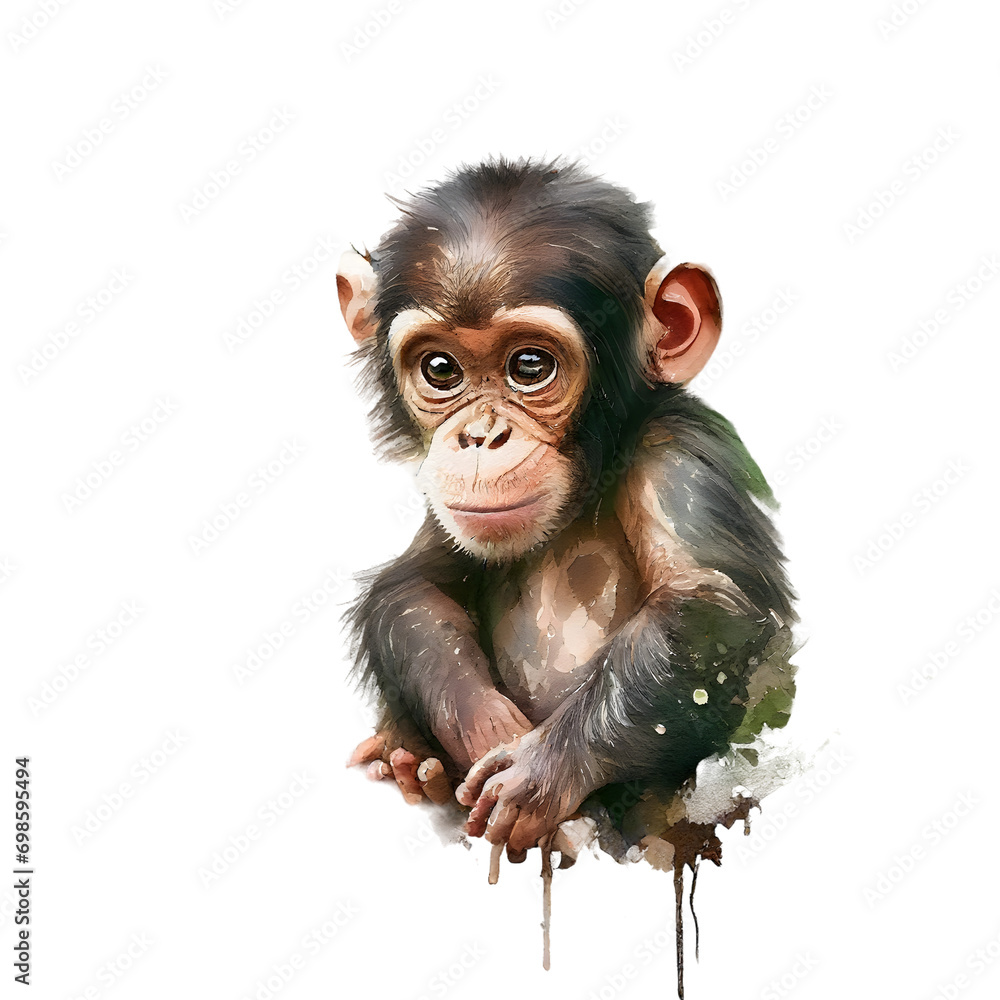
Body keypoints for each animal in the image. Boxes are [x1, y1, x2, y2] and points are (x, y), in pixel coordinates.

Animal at [338, 158, 795, 868]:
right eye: (440, 369)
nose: (480, 437)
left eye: (530, 365)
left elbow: (706, 606)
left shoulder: (681, 455)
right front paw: (483, 724)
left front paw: (537, 773)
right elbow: (412, 584)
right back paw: (414, 768)